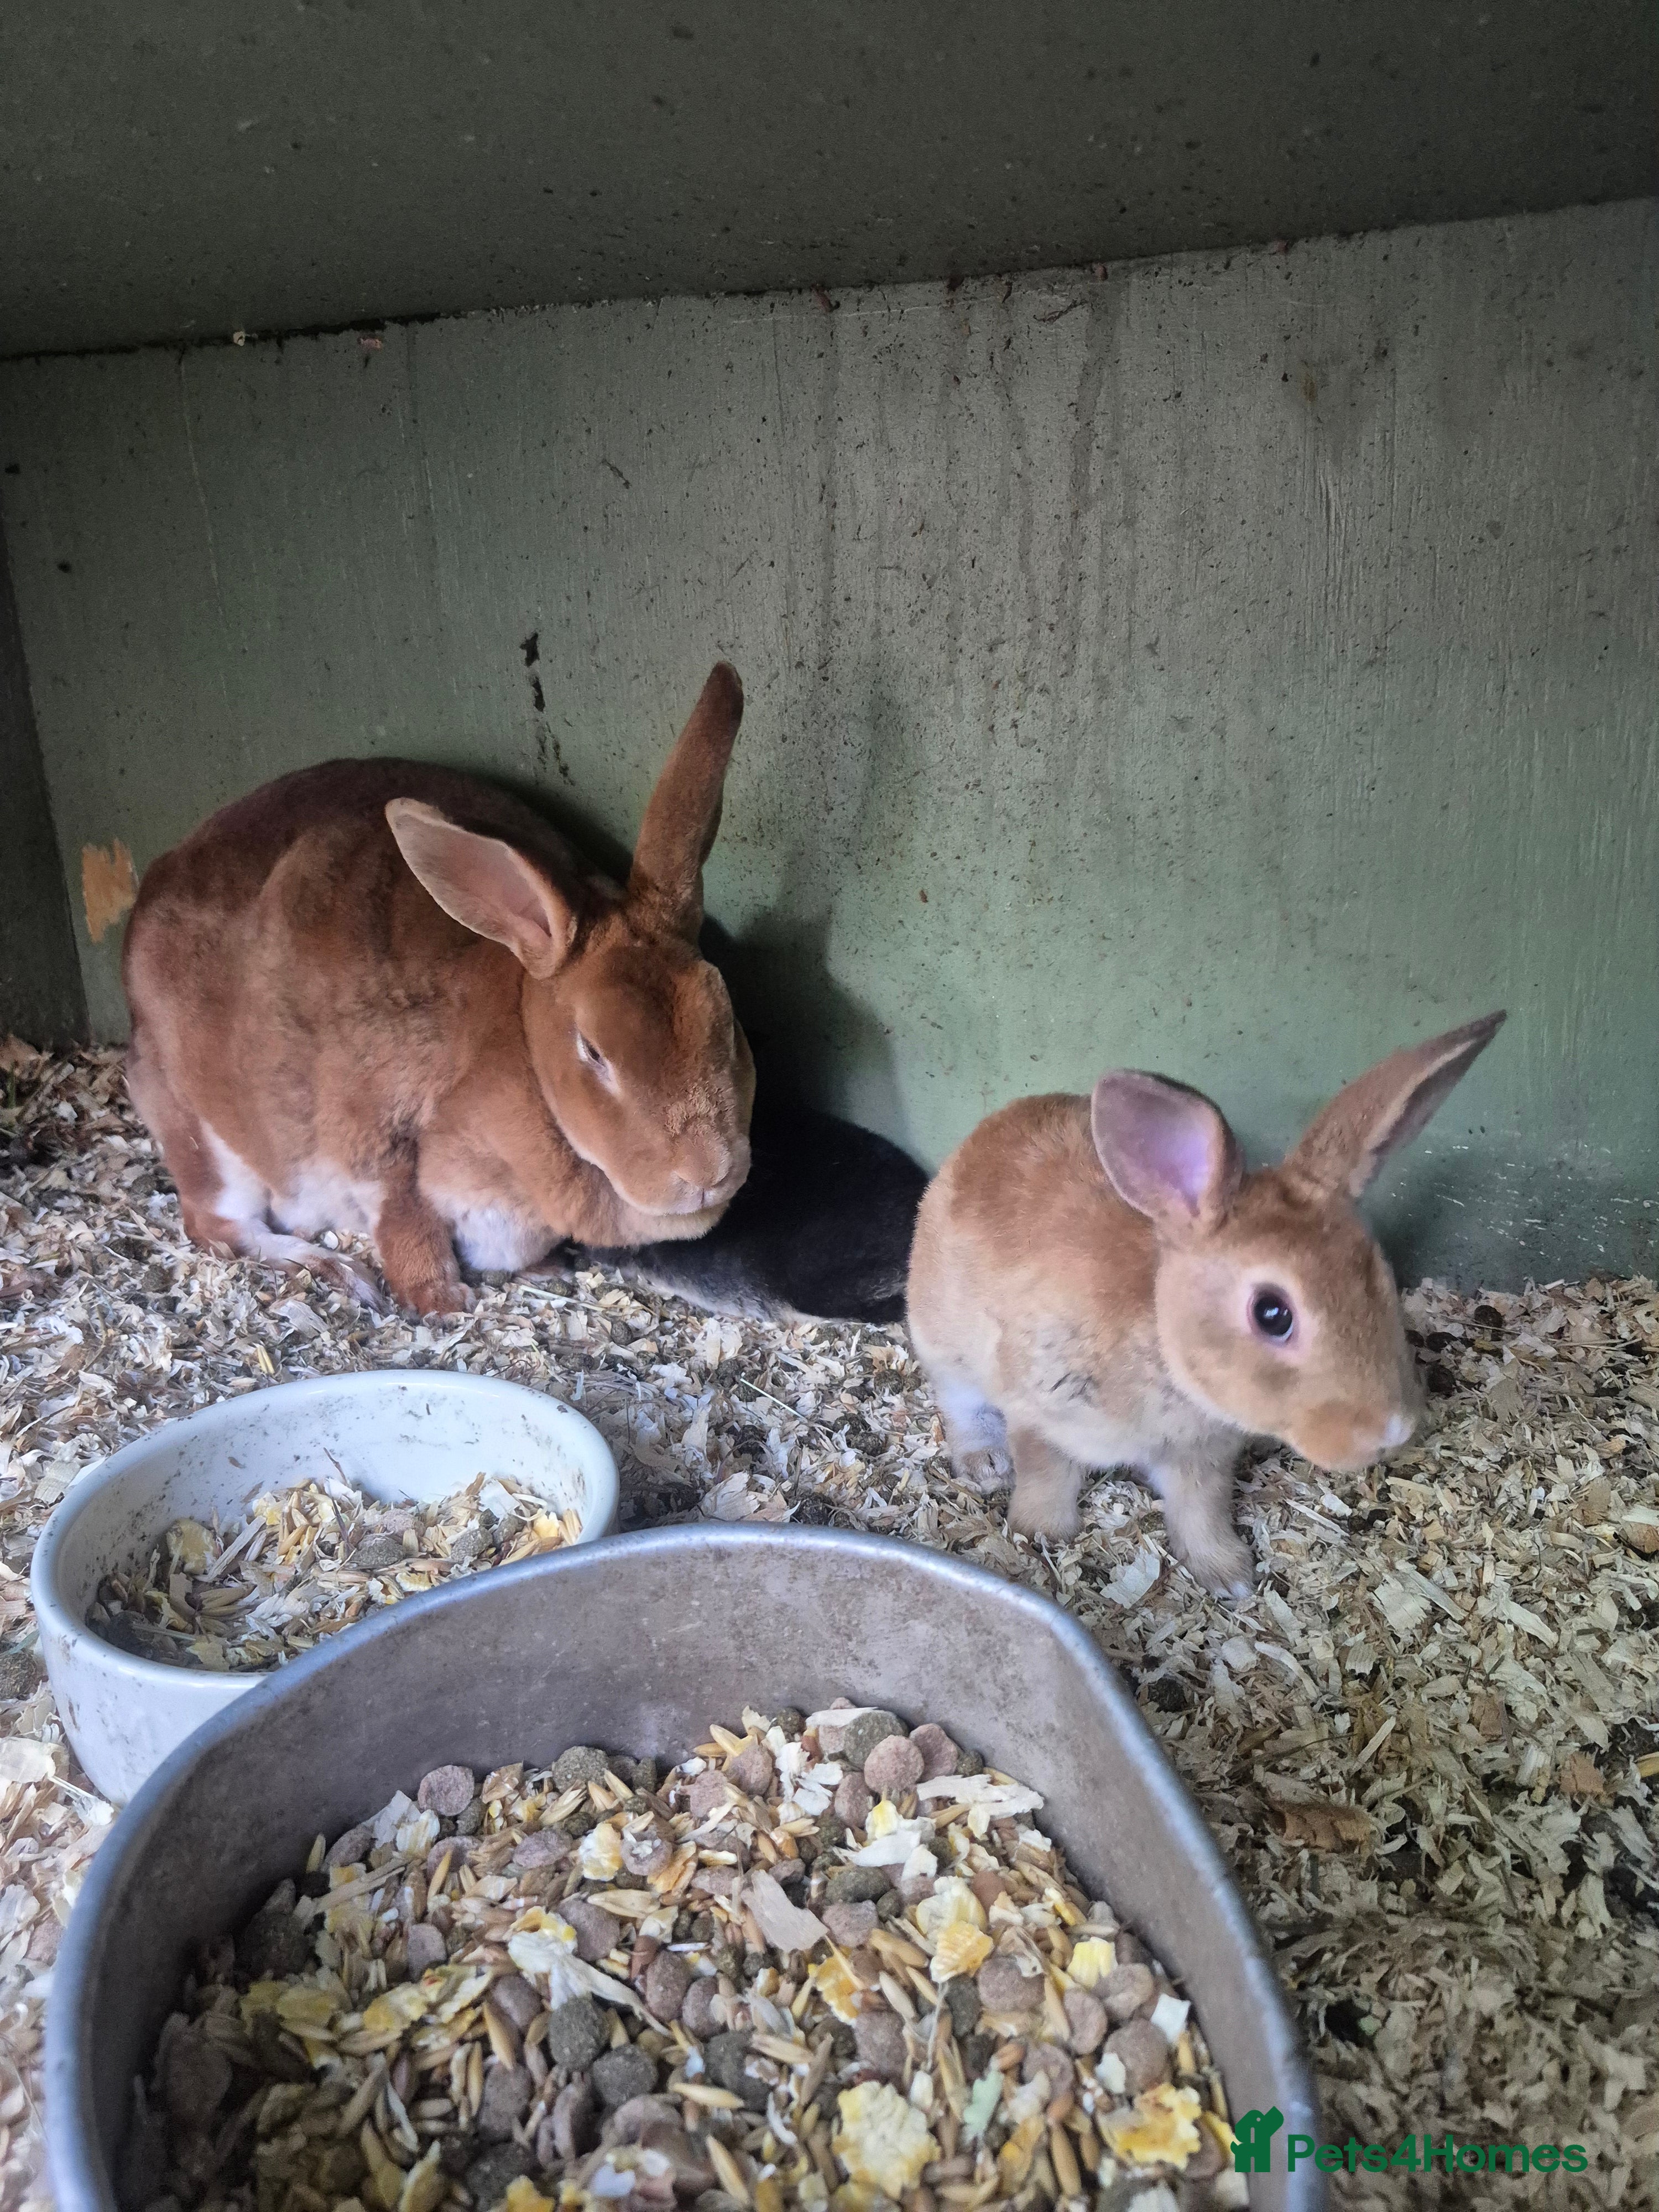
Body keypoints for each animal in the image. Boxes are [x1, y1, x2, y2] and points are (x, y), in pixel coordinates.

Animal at [123, 662, 755, 1316]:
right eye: (594, 1051)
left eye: (725, 1018)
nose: (708, 1173)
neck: (523, 1050)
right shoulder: (387, 1148)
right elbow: (409, 1225)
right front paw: (442, 1300)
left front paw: (544, 1269)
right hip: (211, 1143)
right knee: (219, 1226)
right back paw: (334, 1267)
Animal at [906, 1011, 1505, 1595]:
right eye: (1272, 1313)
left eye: (1379, 1273)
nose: (1393, 1432)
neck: (1163, 1339)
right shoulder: (1040, 1411)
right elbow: (1044, 1473)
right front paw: (1040, 1534)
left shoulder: (1202, 1457)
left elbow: (1201, 1510)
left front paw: (1228, 1576)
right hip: (944, 1345)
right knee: (960, 1405)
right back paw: (986, 1463)